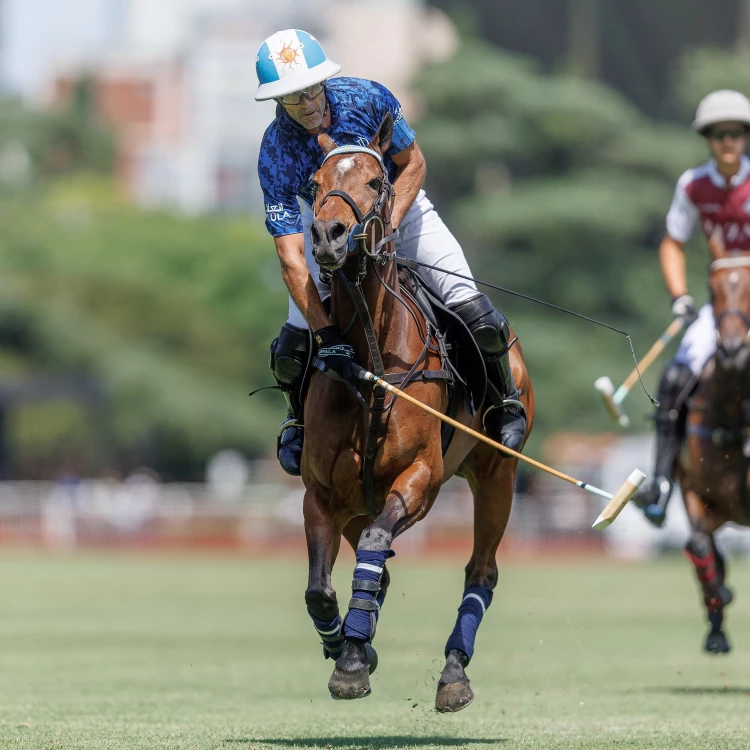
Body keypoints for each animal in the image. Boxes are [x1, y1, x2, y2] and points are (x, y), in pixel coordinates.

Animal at [298, 114, 536, 712]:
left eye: (375, 182)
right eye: (313, 183)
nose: (328, 236)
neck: (372, 364)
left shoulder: (421, 478)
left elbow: (378, 546)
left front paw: (352, 660)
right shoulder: (322, 492)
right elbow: (319, 589)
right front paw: (347, 649)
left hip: (497, 473)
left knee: (481, 570)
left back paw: (454, 672)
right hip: (358, 503)